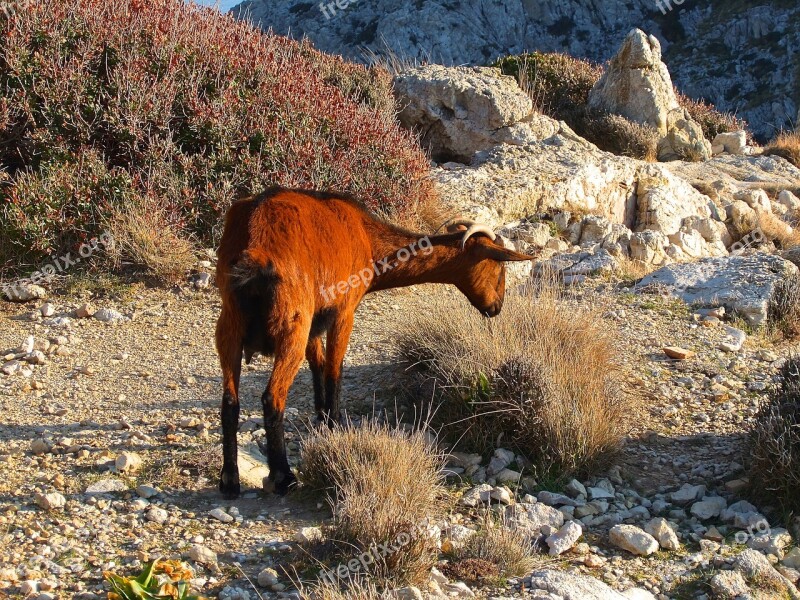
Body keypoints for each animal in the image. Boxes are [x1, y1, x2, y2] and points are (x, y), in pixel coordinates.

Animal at [216, 188, 536, 496]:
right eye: (499, 268)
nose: (496, 307)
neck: (366, 237)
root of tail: (254, 250)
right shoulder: (342, 312)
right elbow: (334, 371)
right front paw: (334, 427)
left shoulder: (315, 321)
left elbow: (318, 364)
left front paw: (321, 421)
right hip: (291, 326)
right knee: (273, 397)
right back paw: (283, 477)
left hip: (231, 325)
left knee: (230, 401)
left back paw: (229, 480)